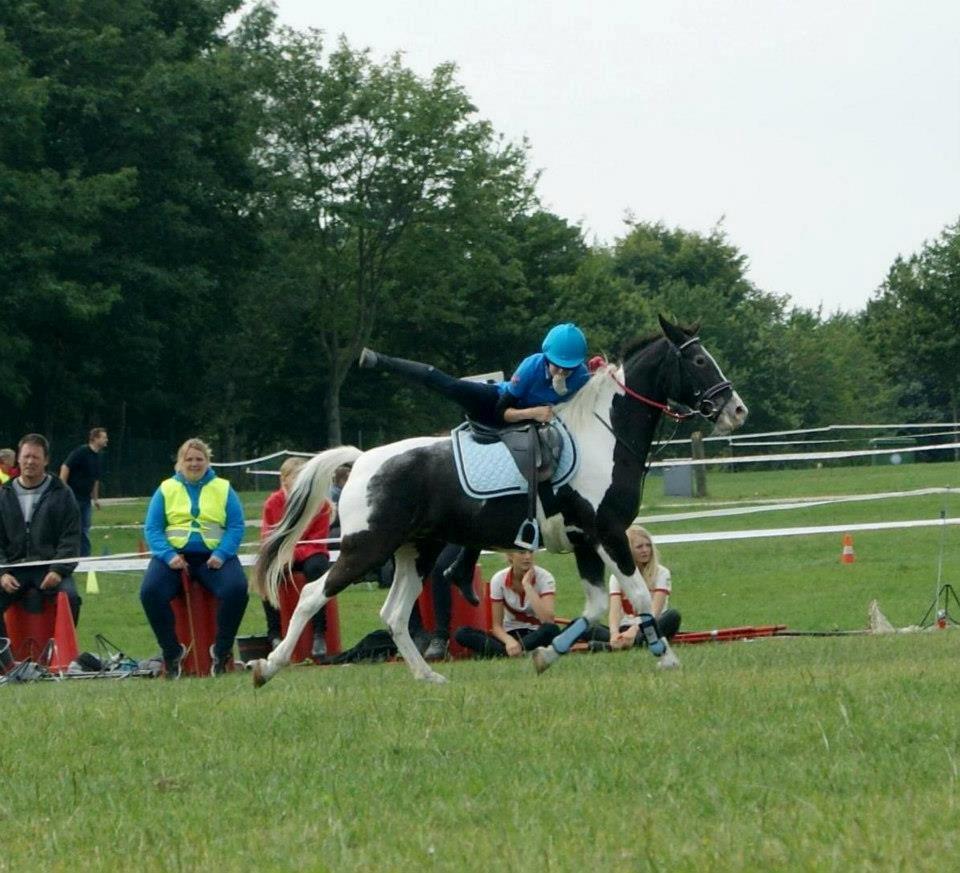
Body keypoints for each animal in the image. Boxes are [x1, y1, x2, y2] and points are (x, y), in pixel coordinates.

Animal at [251, 316, 748, 684]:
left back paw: (428, 676)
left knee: (393, 614)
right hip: (366, 547)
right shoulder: (608, 533)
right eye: (699, 360)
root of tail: (360, 461)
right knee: (313, 595)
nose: (737, 411)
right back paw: (268, 667)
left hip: (416, 551)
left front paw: (546, 655)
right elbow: (640, 595)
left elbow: (590, 606)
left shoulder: (585, 541)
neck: (602, 435)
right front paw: (665, 657)